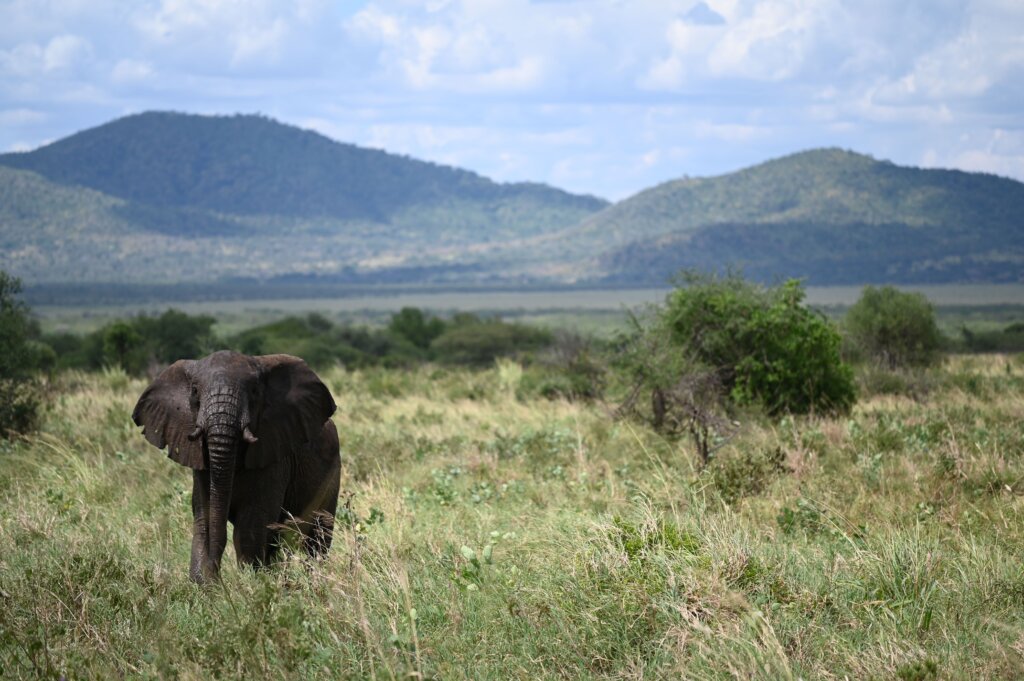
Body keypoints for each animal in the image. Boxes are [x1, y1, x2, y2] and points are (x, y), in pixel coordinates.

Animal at [130, 348, 339, 581]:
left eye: (255, 391)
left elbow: (250, 526)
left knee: (318, 537)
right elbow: (204, 519)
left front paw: (251, 583)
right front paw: (203, 584)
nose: (215, 575)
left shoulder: (273, 457)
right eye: (194, 390)